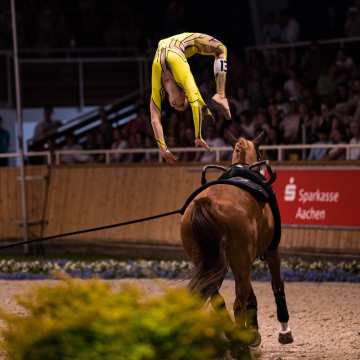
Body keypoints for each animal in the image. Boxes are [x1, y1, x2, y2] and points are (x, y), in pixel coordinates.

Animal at [181, 133, 294, 348]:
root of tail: (205, 203)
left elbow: (251, 295)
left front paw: (254, 333)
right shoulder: (271, 251)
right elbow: (277, 285)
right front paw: (284, 331)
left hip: (210, 263)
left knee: (218, 299)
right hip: (240, 262)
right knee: (237, 304)